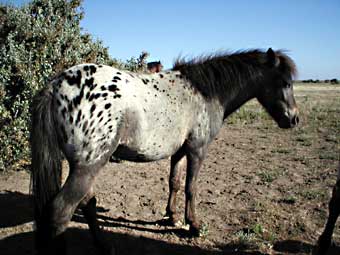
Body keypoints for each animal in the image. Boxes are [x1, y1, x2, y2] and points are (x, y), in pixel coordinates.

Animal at [30, 47, 298, 253]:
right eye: (285, 83)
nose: (294, 119)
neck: (205, 92)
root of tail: (55, 86)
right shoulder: (197, 149)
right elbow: (191, 187)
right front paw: (193, 225)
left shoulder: (179, 151)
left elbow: (175, 182)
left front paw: (172, 216)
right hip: (89, 165)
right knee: (61, 211)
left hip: (84, 166)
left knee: (88, 203)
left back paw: (105, 246)